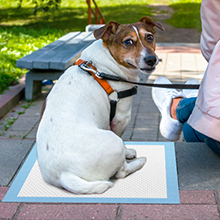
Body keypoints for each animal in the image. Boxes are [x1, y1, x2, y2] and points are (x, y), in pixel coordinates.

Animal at [36, 16, 163, 193]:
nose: (151, 59)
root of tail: (64, 174)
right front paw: (127, 153)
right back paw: (138, 162)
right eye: (128, 42)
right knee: (121, 172)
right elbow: (122, 140)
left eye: (150, 37)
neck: (103, 67)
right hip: (114, 142)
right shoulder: (121, 118)